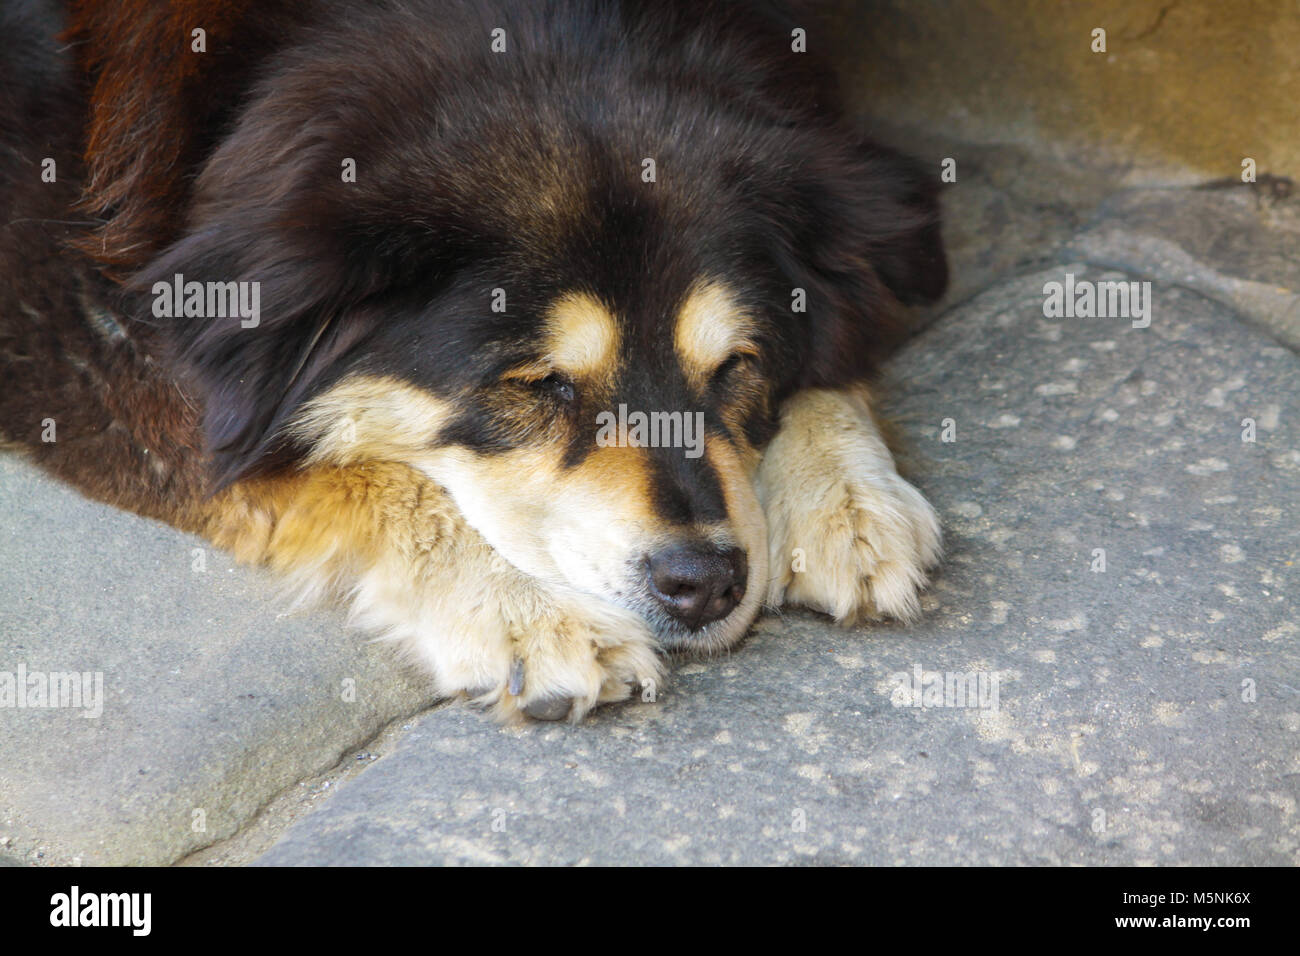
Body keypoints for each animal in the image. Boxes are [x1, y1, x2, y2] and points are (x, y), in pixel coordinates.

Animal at [0, 0, 946, 717]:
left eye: (735, 367)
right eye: (541, 385)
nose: (706, 582)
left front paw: (844, 495)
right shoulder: (84, 328)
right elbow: (360, 471)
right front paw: (531, 613)